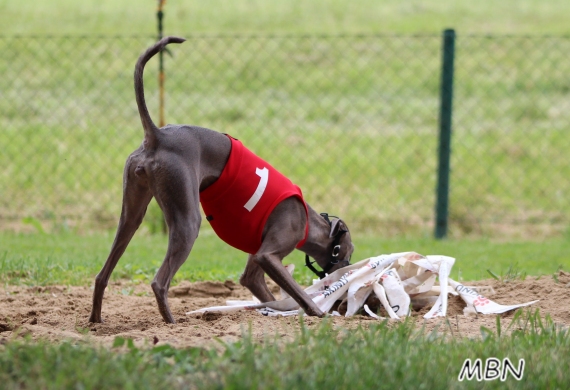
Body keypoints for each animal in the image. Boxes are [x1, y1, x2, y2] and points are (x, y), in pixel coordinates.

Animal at [87, 36, 350, 324]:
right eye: (348, 253)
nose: (347, 269)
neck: (308, 220)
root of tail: (156, 136)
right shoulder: (268, 254)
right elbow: (298, 292)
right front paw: (318, 312)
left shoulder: (254, 267)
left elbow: (257, 286)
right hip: (187, 218)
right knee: (159, 282)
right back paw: (171, 323)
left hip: (132, 213)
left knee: (103, 273)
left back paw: (96, 321)